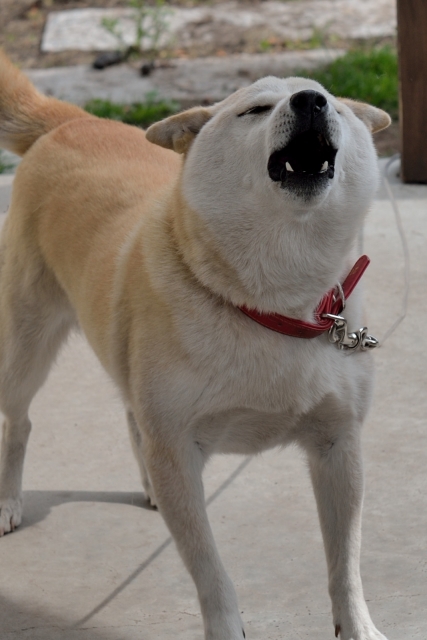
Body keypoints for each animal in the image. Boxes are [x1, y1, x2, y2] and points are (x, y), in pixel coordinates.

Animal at [0, 51, 392, 640]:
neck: (273, 306)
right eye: (255, 109)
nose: (311, 102)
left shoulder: (338, 445)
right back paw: (8, 500)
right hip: (26, 345)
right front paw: (226, 628)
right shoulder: (179, 452)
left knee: (131, 415)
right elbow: (210, 571)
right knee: (20, 422)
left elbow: (345, 562)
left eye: (335, 105)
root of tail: (70, 121)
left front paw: (358, 625)